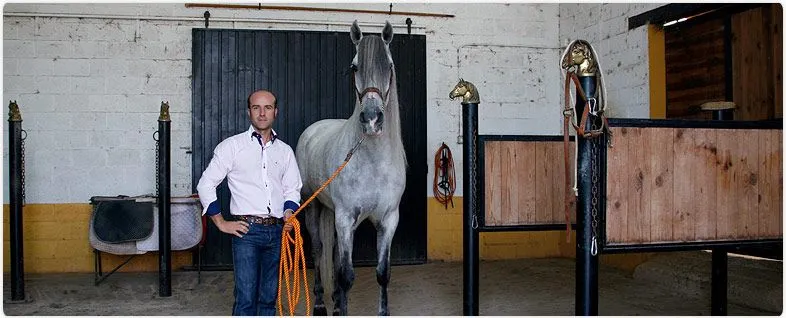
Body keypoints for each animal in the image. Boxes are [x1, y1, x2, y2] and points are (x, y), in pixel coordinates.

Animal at [294, 21, 404, 316]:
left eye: (389, 65)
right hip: (314, 207)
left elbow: (382, 273)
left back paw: (334, 300)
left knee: (333, 255)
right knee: (319, 250)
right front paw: (339, 306)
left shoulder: (388, 220)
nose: (372, 119)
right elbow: (346, 275)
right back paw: (321, 303)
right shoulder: (345, 218)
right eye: (354, 67)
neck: (373, 161)